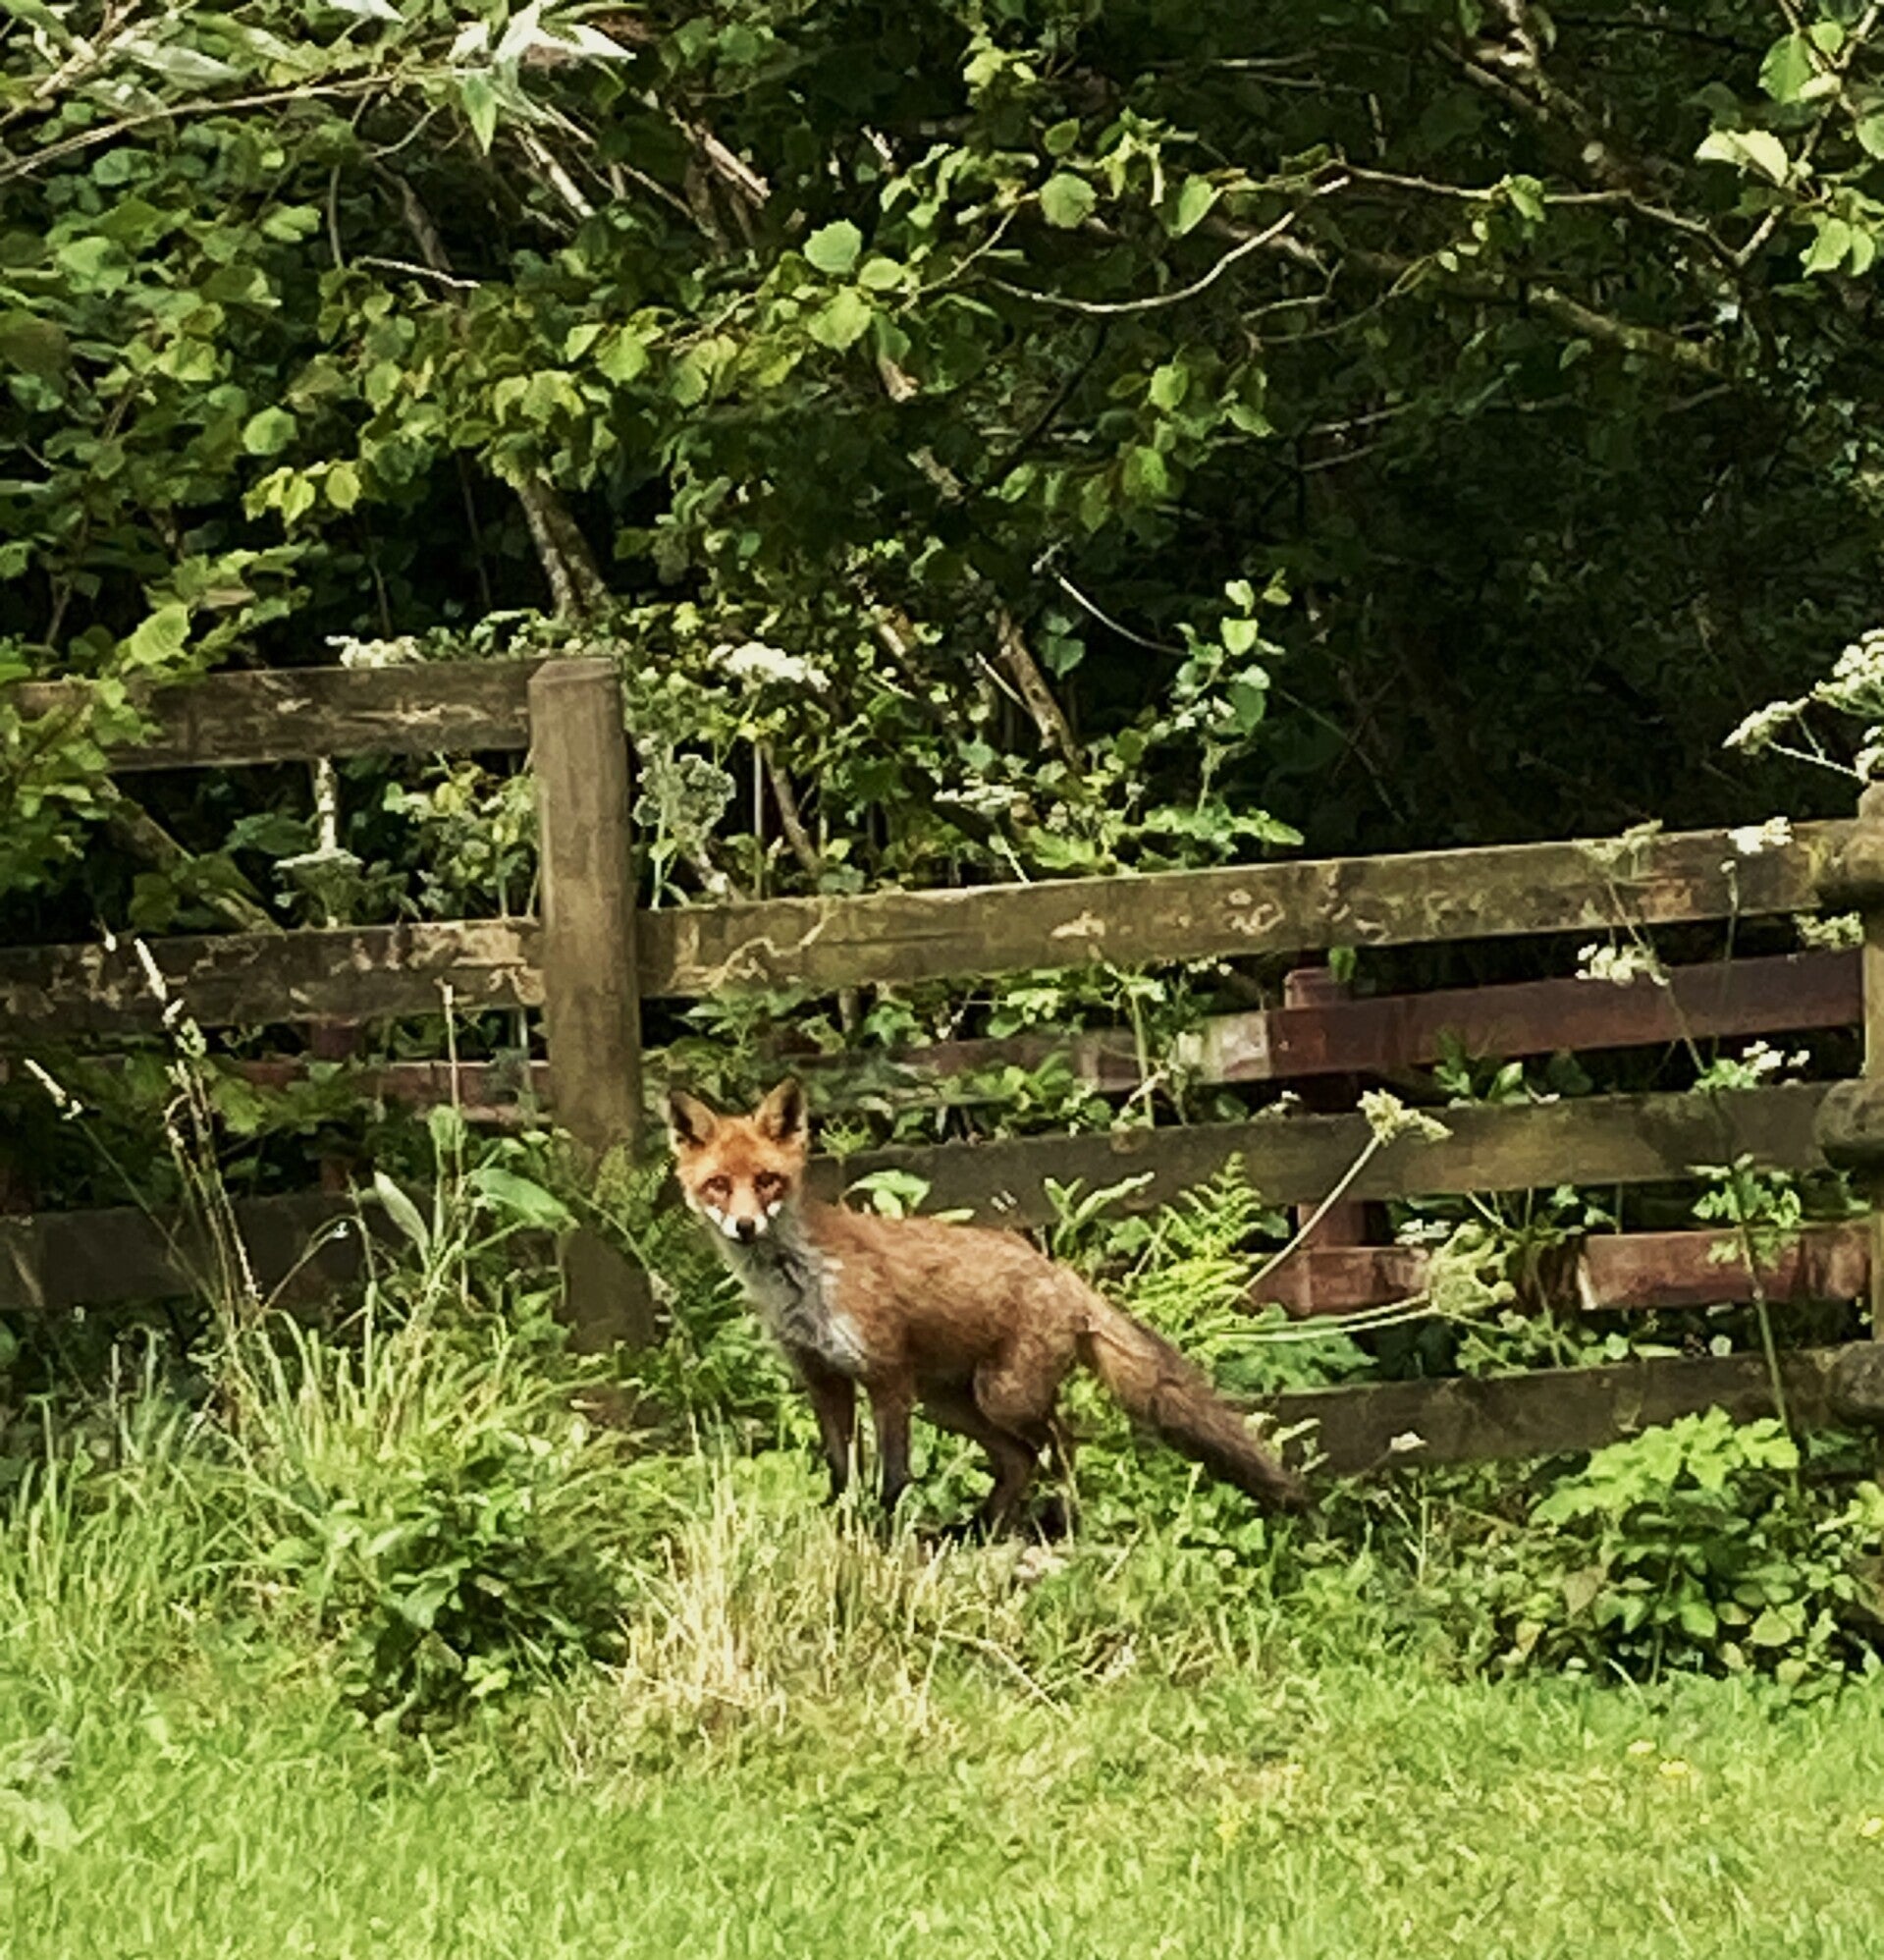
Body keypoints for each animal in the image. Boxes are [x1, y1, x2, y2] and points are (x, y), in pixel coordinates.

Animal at [667, 1078, 1310, 1533]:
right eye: (719, 1185)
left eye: (768, 1181)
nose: (745, 1227)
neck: (800, 1280)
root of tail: (1061, 1275)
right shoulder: (824, 1378)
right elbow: (841, 1470)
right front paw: (843, 1525)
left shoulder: (887, 1374)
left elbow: (893, 1476)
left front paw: (882, 1533)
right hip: (953, 1402)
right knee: (1020, 1460)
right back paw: (981, 1529)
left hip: (1001, 1396)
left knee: (1062, 1441)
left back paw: (1065, 1524)